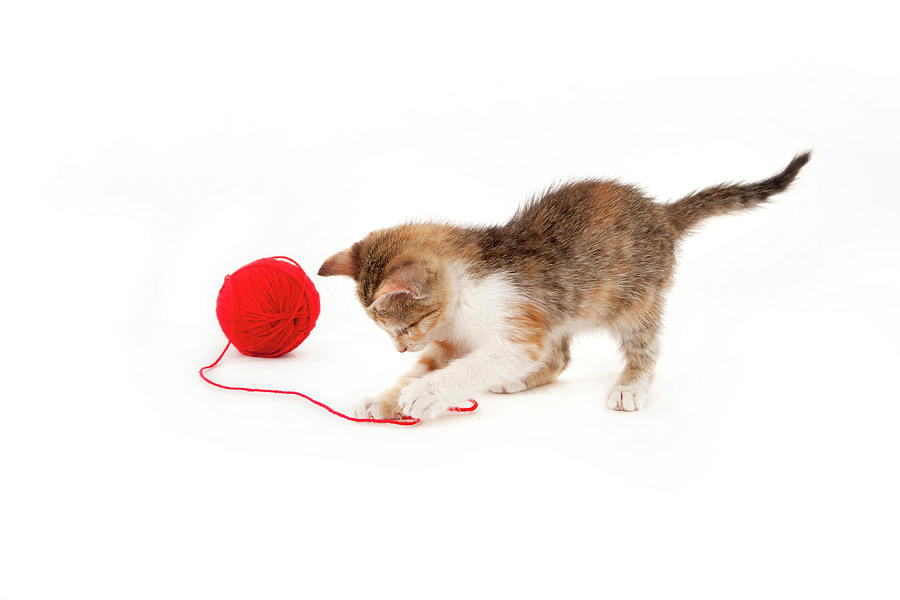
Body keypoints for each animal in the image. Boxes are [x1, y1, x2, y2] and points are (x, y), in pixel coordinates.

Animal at [316, 152, 808, 420]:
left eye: (404, 327)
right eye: (390, 333)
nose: (401, 348)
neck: (462, 296)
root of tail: (662, 213)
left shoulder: (518, 329)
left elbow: (473, 365)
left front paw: (427, 393)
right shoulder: (452, 340)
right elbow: (428, 367)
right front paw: (386, 398)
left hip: (635, 298)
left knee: (643, 347)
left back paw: (630, 385)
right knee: (561, 356)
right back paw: (520, 381)